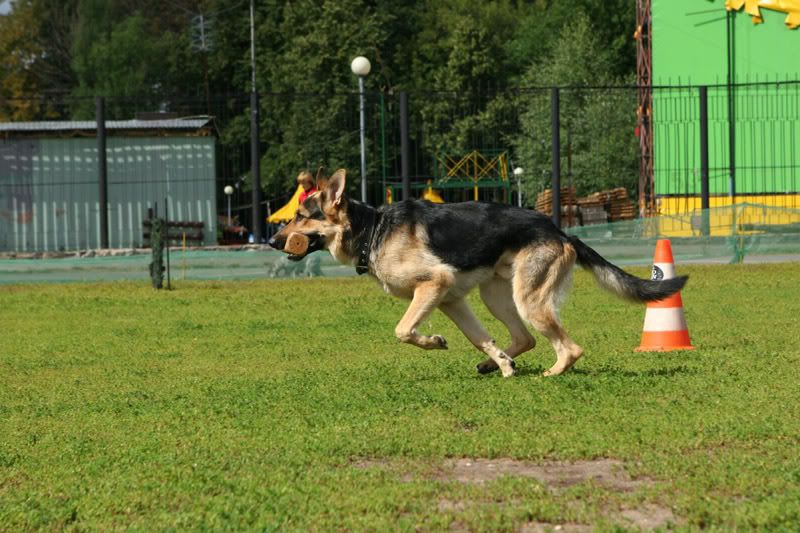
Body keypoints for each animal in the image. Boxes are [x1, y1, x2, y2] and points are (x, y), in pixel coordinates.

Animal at [268, 168, 687, 377]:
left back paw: (554, 372)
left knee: (569, 347)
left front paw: (434, 341)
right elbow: (479, 338)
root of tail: (560, 231)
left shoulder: (433, 287)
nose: (272, 240)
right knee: (524, 338)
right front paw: (499, 362)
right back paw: (498, 363)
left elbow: (404, 330)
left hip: (529, 300)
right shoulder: (451, 299)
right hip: (496, 296)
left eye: (301, 216)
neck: (373, 229)